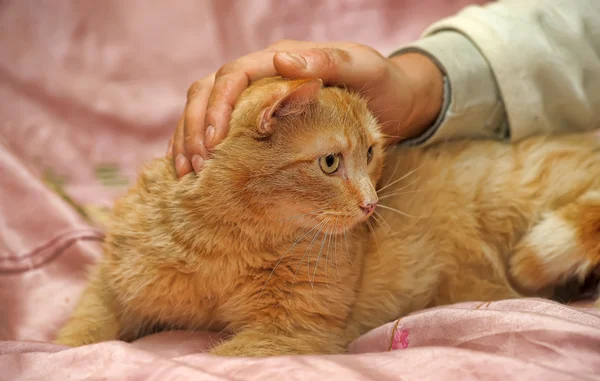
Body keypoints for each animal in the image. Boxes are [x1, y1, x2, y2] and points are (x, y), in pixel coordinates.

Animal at [54, 75, 596, 354]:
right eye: (331, 162)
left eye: (371, 153)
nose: (371, 204)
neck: (231, 245)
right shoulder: (116, 281)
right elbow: (84, 328)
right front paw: (67, 350)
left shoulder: (289, 331)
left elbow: (225, 354)